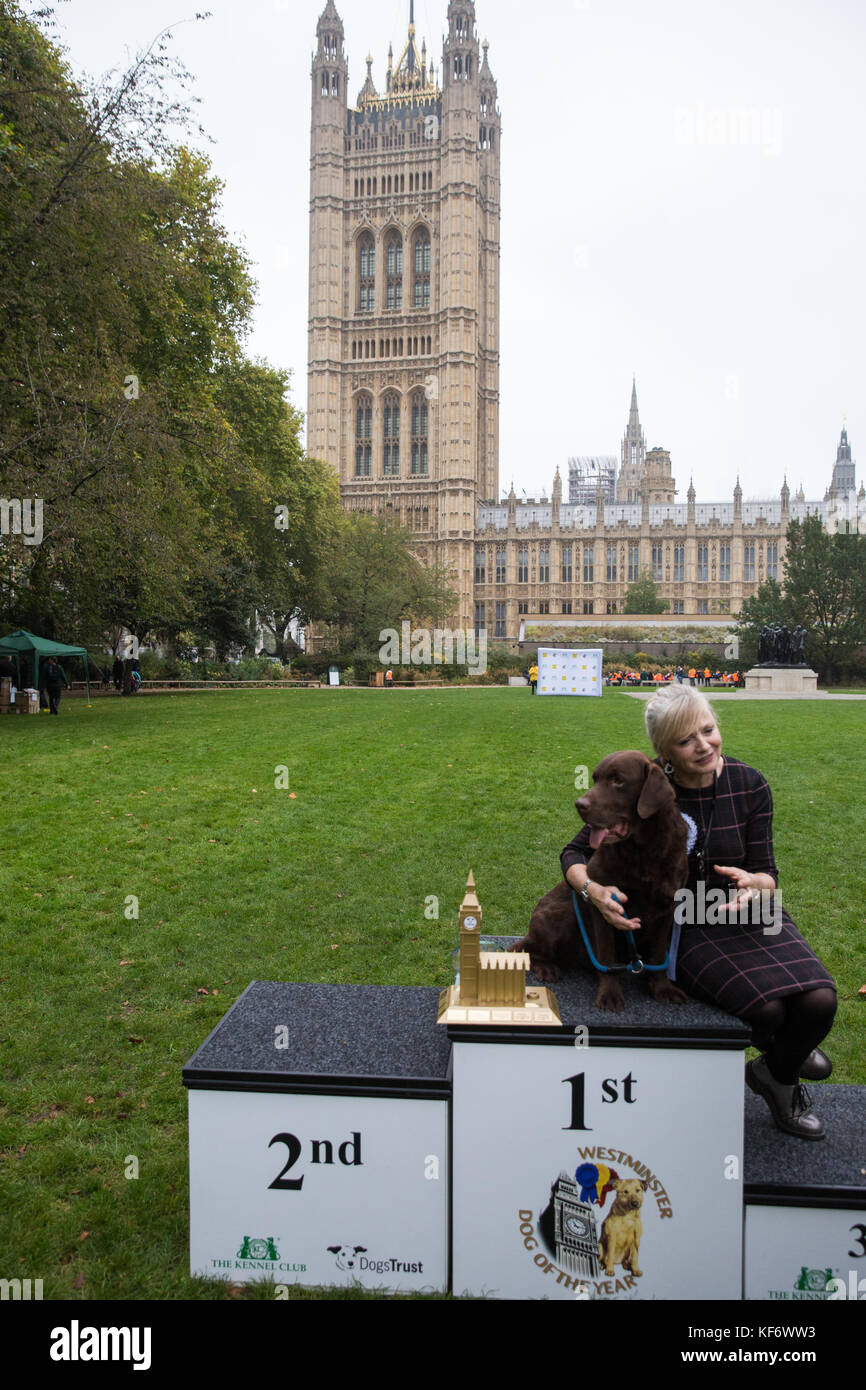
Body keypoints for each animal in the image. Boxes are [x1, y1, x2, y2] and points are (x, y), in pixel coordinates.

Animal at [514, 750, 692, 1011]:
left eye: (618, 780)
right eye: (595, 779)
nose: (579, 804)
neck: (642, 851)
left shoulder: (668, 907)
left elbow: (660, 954)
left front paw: (662, 988)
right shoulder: (604, 906)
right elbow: (607, 956)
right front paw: (610, 994)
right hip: (558, 915)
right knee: (530, 952)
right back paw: (547, 968)